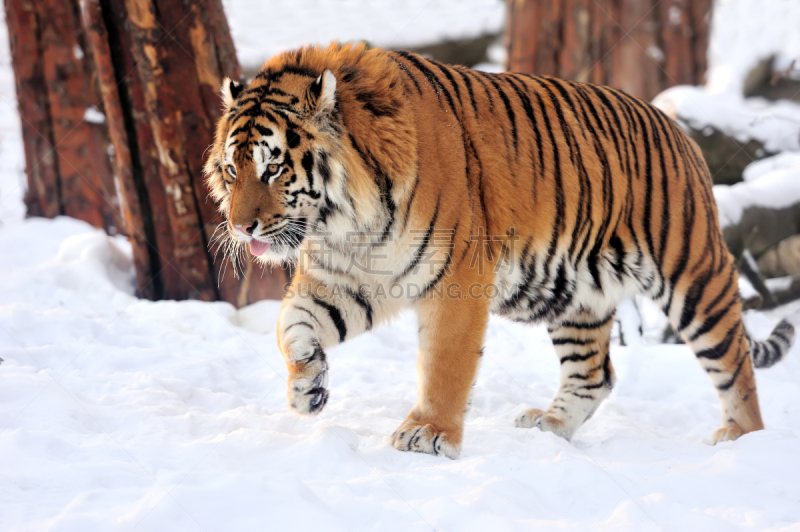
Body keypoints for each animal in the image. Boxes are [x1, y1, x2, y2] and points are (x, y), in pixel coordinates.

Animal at [205, 42, 792, 458]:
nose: (241, 227)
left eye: (274, 167)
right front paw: (306, 388)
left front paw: (430, 435)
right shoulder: (345, 277)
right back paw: (549, 427)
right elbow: (291, 324)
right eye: (233, 170)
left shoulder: (455, 277)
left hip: (693, 276)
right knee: (595, 375)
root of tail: (678, 127)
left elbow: (445, 363)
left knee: (736, 363)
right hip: (574, 295)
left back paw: (741, 440)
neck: (344, 222)